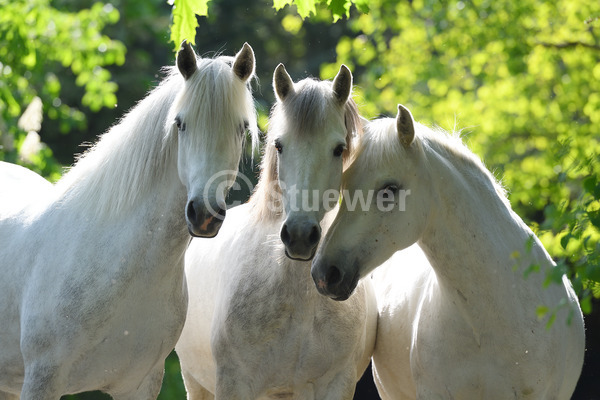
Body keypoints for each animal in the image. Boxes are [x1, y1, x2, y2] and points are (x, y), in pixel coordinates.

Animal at [176, 64, 378, 398]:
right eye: (279, 145)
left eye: (339, 149)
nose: (299, 236)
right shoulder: (234, 384)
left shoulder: (337, 384)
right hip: (195, 383)